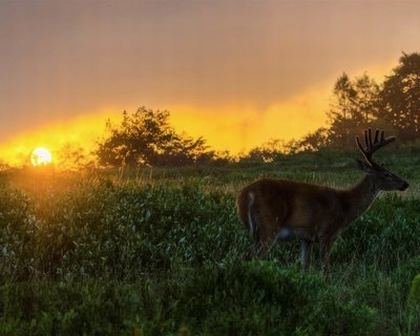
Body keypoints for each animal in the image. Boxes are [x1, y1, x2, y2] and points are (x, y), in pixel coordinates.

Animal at [238, 129, 408, 270]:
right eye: (387, 174)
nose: (405, 183)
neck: (345, 205)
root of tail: (247, 193)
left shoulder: (307, 237)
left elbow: (304, 265)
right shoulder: (327, 232)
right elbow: (325, 267)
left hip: (255, 229)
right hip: (269, 225)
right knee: (255, 257)